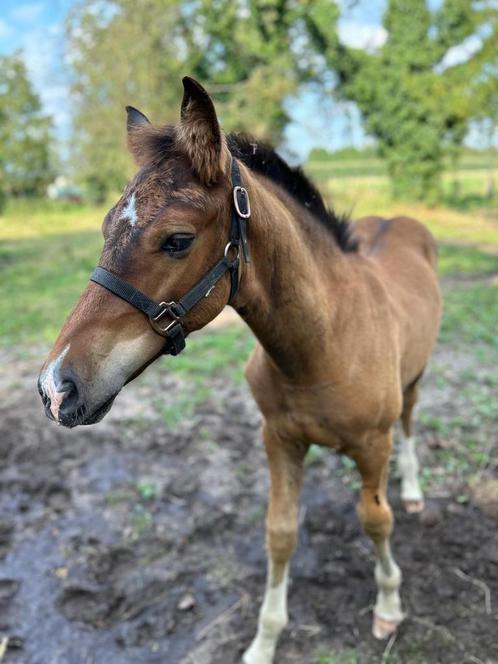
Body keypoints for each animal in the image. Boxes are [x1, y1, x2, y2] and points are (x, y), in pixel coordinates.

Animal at [39, 76, 440, 660]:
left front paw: (388, 607)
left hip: (414, 379)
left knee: (409, 421)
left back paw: (410, 491)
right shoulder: (279, 439)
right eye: (106, 226)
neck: (322, 346)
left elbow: (376, 519)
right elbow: (280, 533)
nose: (55, 388)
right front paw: (263, 641)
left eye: (178, 239)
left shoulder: (373, 443)